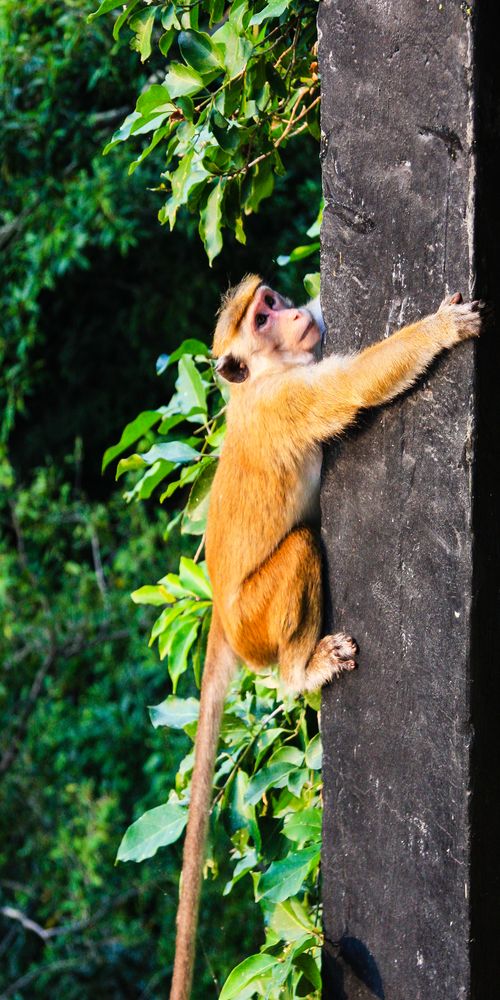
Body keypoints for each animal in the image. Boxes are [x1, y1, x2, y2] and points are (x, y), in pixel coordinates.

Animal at [169, 276, 484, 1000]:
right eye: (261, 319)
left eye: (272, 299)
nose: (290, 312)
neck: (258, 384)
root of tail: (221, 621)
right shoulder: (289, 399)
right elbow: (352, 390)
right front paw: (439, 330)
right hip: (257, 624)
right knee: (302, 547)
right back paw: (300, 672)